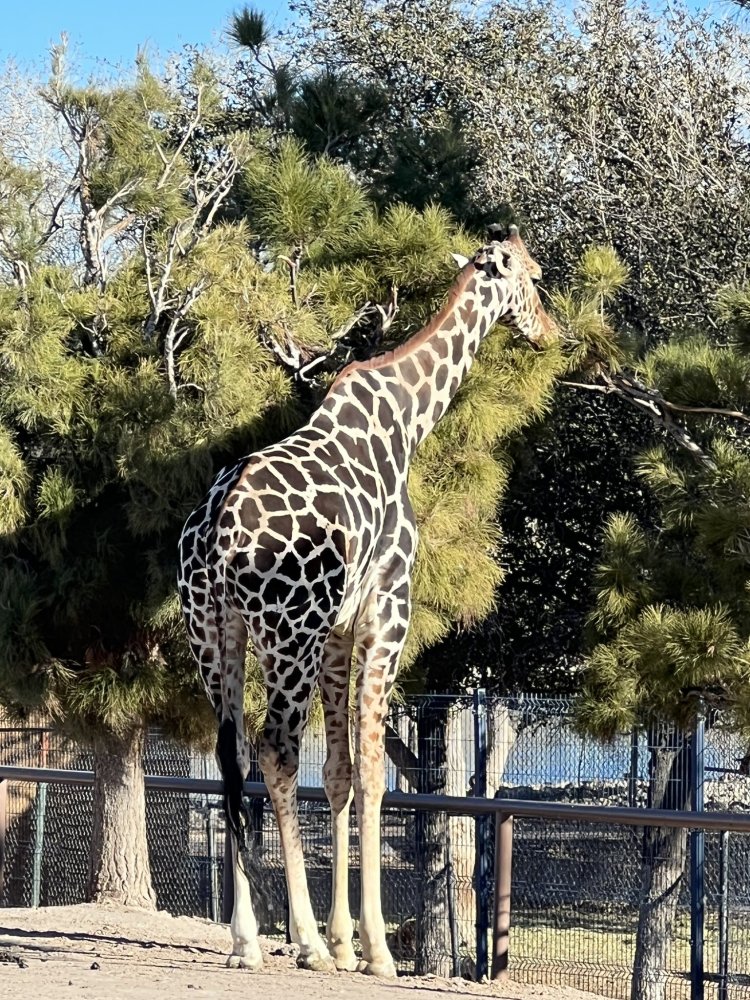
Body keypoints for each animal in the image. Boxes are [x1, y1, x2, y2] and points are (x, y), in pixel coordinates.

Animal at [178, 225, 560, 976]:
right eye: (533, 278)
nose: (549, 333)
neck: (409, 420)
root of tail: (214, 530)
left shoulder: (337, 631)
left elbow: (340, 773)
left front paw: (341, 939)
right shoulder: (388, 611)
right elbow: (379, 776)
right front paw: (371, 949)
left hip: (218, 634)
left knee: (233, 756)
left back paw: (246, 940)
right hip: (286, 632)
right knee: (275, 750)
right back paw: (296, 942)